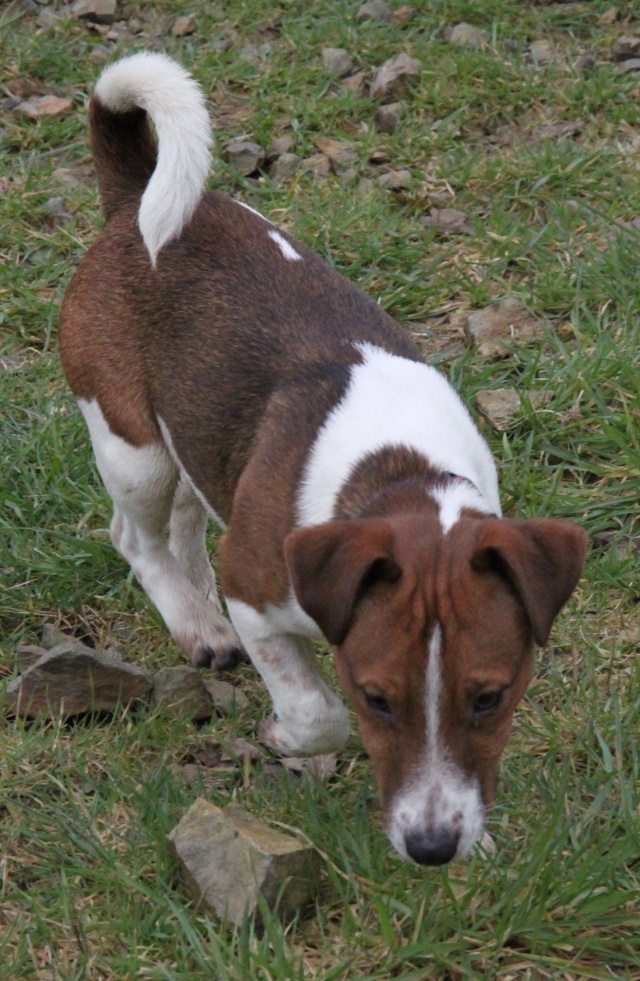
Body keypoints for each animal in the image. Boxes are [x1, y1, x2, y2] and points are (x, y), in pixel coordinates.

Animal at [57, 53, 588, 864]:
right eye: (376, 697)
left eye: (490, 697)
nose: (432, 848)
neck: (395, 474)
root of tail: (130, 202)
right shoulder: (257, 594)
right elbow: (316, 712)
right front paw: (284, 731)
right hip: (132, 444)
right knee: (138, 538)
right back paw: (197, 624)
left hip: (194, 441)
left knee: (184, 521)